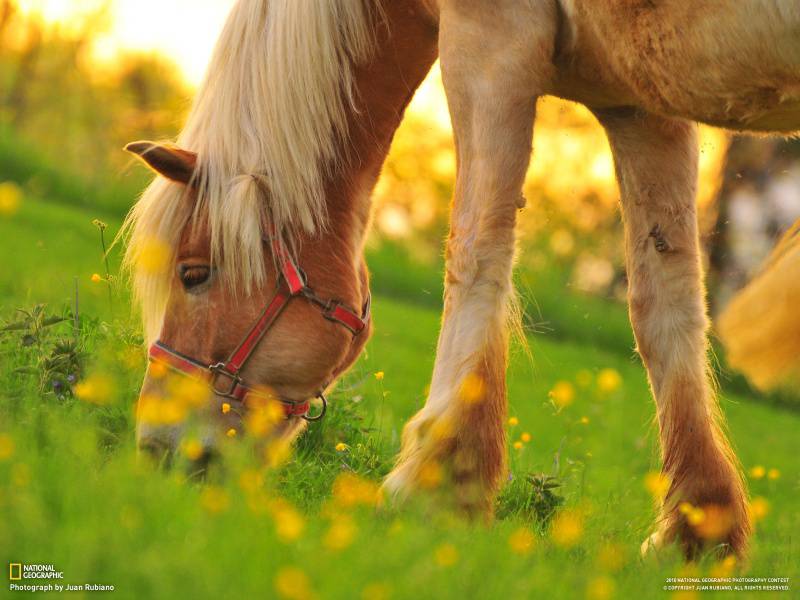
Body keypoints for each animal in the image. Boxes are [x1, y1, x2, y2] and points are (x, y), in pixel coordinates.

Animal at [122, 0, 796, 564]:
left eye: (193, 274)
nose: (156, 447)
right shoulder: (642, 102)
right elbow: (665, 303)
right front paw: (696, 530)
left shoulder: (489, 41)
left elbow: (476, 248)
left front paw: (440, 481)